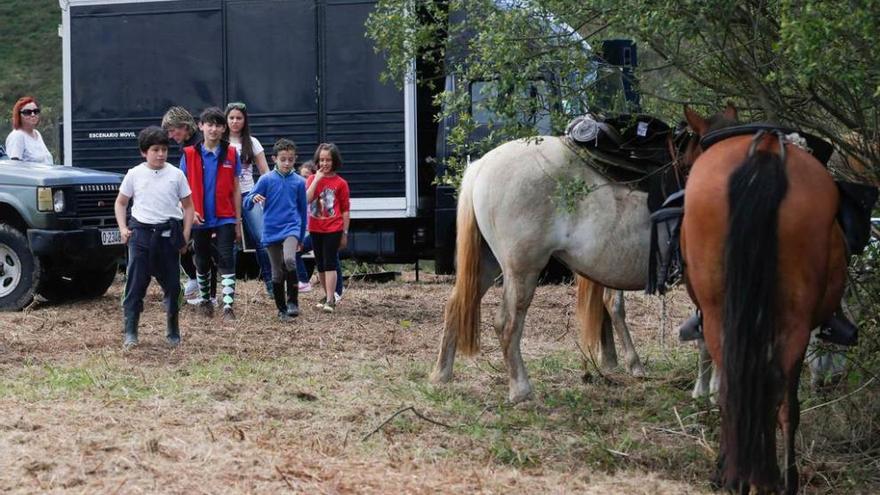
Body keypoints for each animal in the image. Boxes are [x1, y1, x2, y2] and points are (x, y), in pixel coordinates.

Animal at [676, 111, 848, 492]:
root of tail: (766, 149)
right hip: (794, 320)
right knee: (778, 396)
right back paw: (776, 478)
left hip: (721, 316)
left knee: (740, 391)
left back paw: (743, 476)